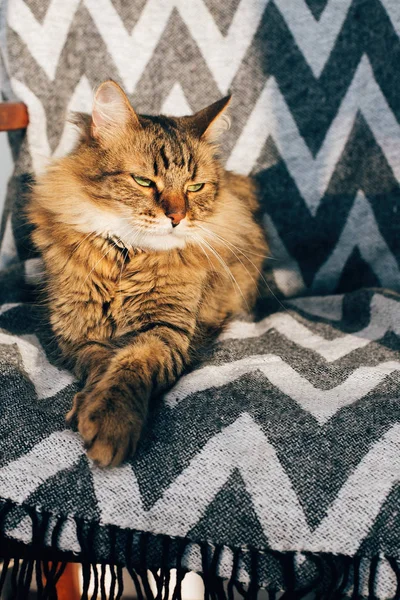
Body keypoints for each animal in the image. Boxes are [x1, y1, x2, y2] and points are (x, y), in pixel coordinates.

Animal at [27, 79, 266, 466]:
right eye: (143, 181)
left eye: (195, 187)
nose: (177, 217)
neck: (126, 256)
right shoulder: (81, 334)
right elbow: (101, 365)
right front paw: (88, 406)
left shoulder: (165, 330)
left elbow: (129, 366)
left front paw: (111, 423)